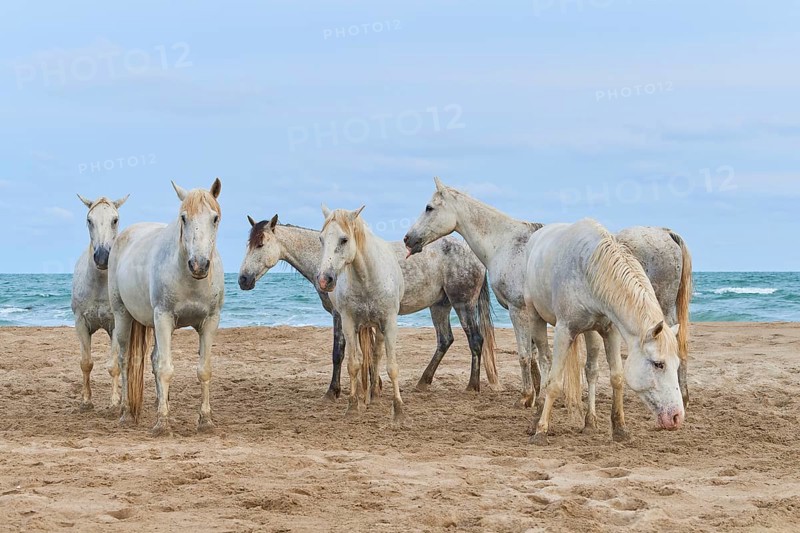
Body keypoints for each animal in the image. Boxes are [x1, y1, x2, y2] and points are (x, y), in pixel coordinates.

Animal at [71, 194, 128, 411]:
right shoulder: (81, 323)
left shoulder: (116, 326)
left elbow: (114, 366)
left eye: (115, 220)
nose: (103, 257)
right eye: (89, 220)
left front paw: (114, 402)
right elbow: (86, 363)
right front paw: (86, 401)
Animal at [107, 179, 224, 436]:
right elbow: (165, 369)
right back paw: (125, 413)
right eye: (183, 218)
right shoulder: (164, 317)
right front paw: (162, 423)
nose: (199, 265)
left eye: (214, 218)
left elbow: (204, 370)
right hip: (123, 315)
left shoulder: (210, 321)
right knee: (125, 360)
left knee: (152, 359)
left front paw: (206, 420)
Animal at [238, 215, 499, 397]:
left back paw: (472, 386)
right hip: (440, 305)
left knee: (475, 340)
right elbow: (368, 352)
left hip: (463, 304)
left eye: (261, 244)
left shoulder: (340, 315)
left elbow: (339, 352)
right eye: (248, 244)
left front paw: (333, 391)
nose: (243, 279)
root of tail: (472, 254)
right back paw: (423, 382)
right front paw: (374, 385)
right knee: (445, 340)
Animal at [316, 205, 406, 424]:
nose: (324, 279)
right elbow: (353, 364)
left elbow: (392, 367)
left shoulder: (389, 323)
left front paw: (398, 410)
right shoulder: (348, 323)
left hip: (378, 328)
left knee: (376, 355)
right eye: (321, 239)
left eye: (344, 239)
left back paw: (374, 396)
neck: (367, 279)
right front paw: (353, 406)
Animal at [524, 219, 684, 444]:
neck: (589, 268)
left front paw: (620, 429)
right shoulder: (564, 331)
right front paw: (541, 431)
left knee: (591, 370)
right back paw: (536, 419)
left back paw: (589, 422)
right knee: (545, 361)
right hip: (534, 316)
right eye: (658, 364)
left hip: (590, 331)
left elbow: (616, 377)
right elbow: (554, 383)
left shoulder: (610, 331)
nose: (677, 417)